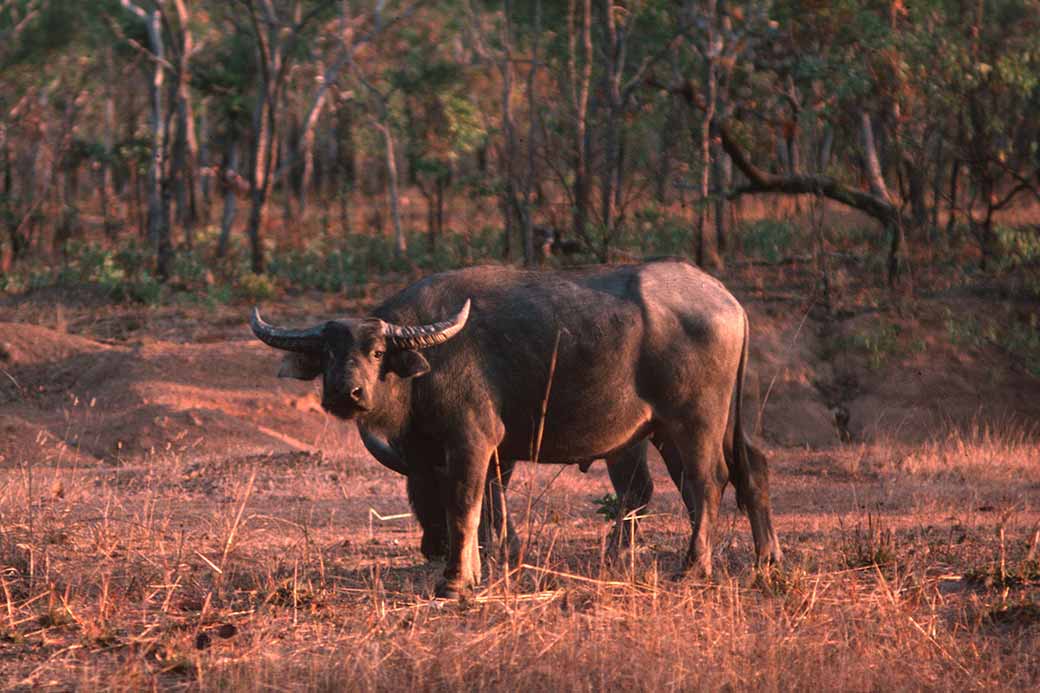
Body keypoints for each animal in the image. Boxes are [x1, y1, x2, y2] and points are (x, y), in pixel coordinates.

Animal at [252, 259, 781, 597]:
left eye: (378, 352)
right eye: (328, 354)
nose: (348, 393)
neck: (424, 369)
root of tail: (727, 300)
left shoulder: (472, 441)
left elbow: (466, 505)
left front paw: (455, 581)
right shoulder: (470, 456)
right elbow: (487, 506)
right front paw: (482, 567)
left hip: (694, 421)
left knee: (706, 482)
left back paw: (693, 568)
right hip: (685, 428)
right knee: (749, 470)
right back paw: (767, 560)